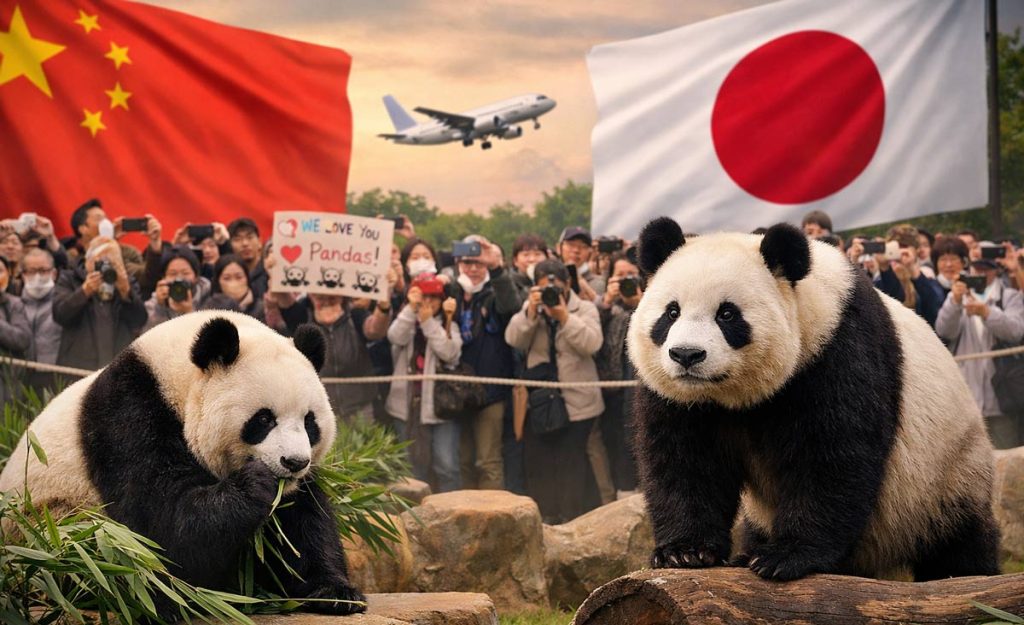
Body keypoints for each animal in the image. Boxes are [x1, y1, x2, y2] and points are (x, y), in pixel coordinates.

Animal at [0, 311, 365, 616]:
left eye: (309, 422)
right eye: (263, 419)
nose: (294, 462)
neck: (172, 378)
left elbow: (303, 523)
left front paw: (336, 593)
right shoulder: (126, 415)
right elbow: (161, 524)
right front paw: (254, 485)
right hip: (51, 524)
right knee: (96, 556)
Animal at [627, 218, 1000, 582]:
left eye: (727, 314)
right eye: (671, 312)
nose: (686, 355)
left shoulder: (837, 351)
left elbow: (831, 454)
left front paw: (786, 556)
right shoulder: (681, 399)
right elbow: (684, 460)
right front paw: (685, 551)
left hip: (944, 472)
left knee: (958, 537)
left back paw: (962, 571)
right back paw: (748, 551)